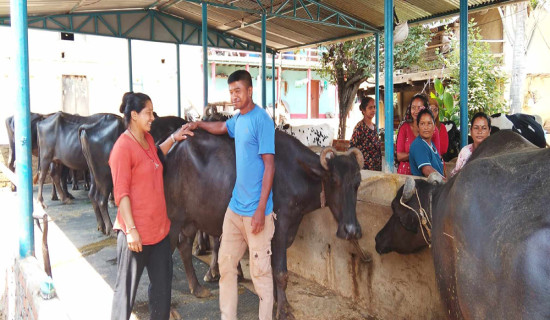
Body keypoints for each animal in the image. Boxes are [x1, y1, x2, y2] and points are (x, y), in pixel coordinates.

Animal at [166, 129, 364, 318]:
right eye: (334, 180)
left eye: (357, 183)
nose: (351, 230)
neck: (297, 174)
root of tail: (171, 150)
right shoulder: (280, 228)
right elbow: (281, 273)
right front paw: (283, 310)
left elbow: (273, 270)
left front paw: (275, 301)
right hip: (172, 221)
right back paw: (171, 308)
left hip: (190, 220)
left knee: (184, 246)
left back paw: (197, 288)